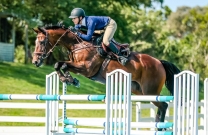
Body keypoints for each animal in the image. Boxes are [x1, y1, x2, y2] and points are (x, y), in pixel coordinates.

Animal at [31, 23, 180, 130]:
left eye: (42, 42)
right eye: (35, 42)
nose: (35, 62)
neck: (78, 44)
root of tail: (159, 62)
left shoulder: (86, 69)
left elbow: (62, 65)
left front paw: (71, 80)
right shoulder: (77, 65)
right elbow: (59, 64)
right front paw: (69, 79)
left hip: (150, 91)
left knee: (164, 104)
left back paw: (160, 127)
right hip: (139, 91)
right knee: (162, 106)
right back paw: (158, 127)